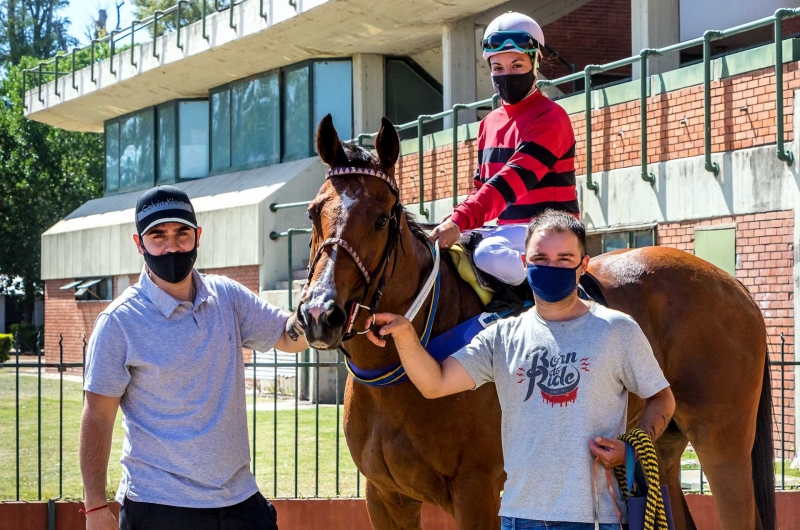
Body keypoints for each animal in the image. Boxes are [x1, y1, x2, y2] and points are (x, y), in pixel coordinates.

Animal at [296, 115, 776, 528]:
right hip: (658, 444)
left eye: (381, 219)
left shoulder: (476, 491)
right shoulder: (385, 497)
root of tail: (731, 283)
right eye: (313, 213)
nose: (320, 313)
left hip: (722, 441)